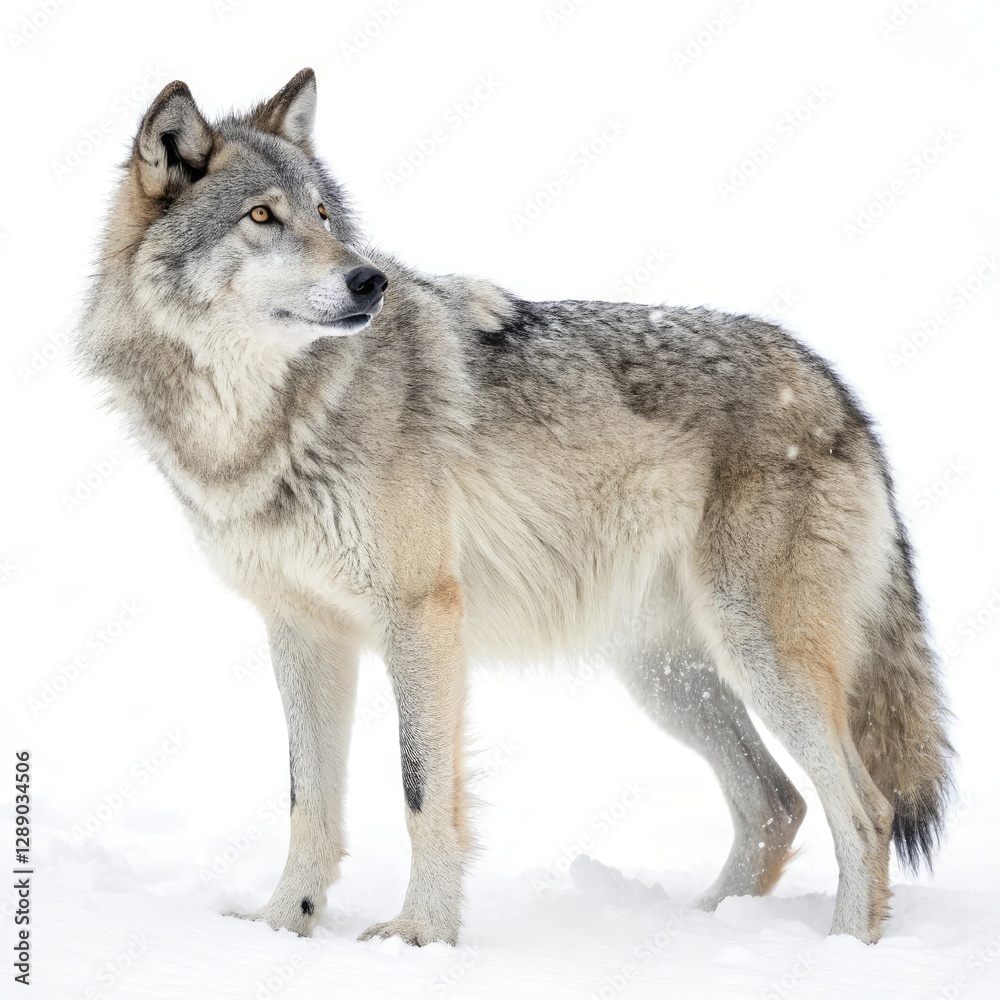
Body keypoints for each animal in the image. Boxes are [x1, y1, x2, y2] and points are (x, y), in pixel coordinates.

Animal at [77, 69, 952, 947]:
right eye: (262, 217)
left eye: (324, 216)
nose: (370, 281)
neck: (266, 424)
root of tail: (836, 387)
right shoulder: (301, 629)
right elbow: (308, 800)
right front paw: (283, 923)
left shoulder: (421, 615)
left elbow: (422, 790)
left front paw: (421, 934)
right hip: (667, 675)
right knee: (778, 803)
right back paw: (704, 926)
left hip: (758, 656)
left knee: (866, 809)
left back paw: (843, 946)